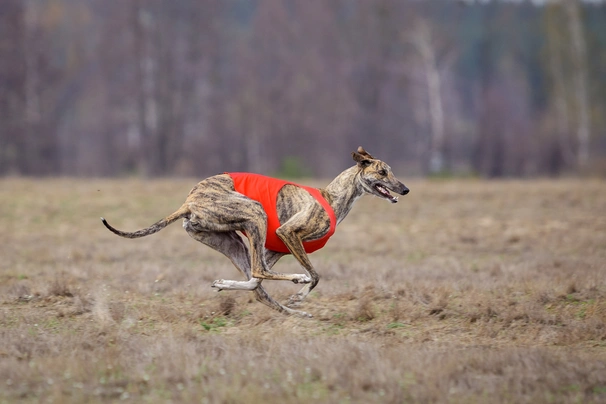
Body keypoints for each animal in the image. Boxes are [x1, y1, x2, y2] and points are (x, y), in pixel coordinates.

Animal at [102, 147, 410, 318]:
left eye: (390, 171)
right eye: (382, 172)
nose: (405, 189)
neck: (332, 197)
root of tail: (188, 202)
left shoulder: (273, 248)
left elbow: (254, 281)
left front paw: (224, 284)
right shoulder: (288, 233)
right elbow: (315, 275)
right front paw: (299, 292)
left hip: (235, 242)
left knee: (256, 279)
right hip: (255, 213)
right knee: (260, 273)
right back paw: (296, 284)